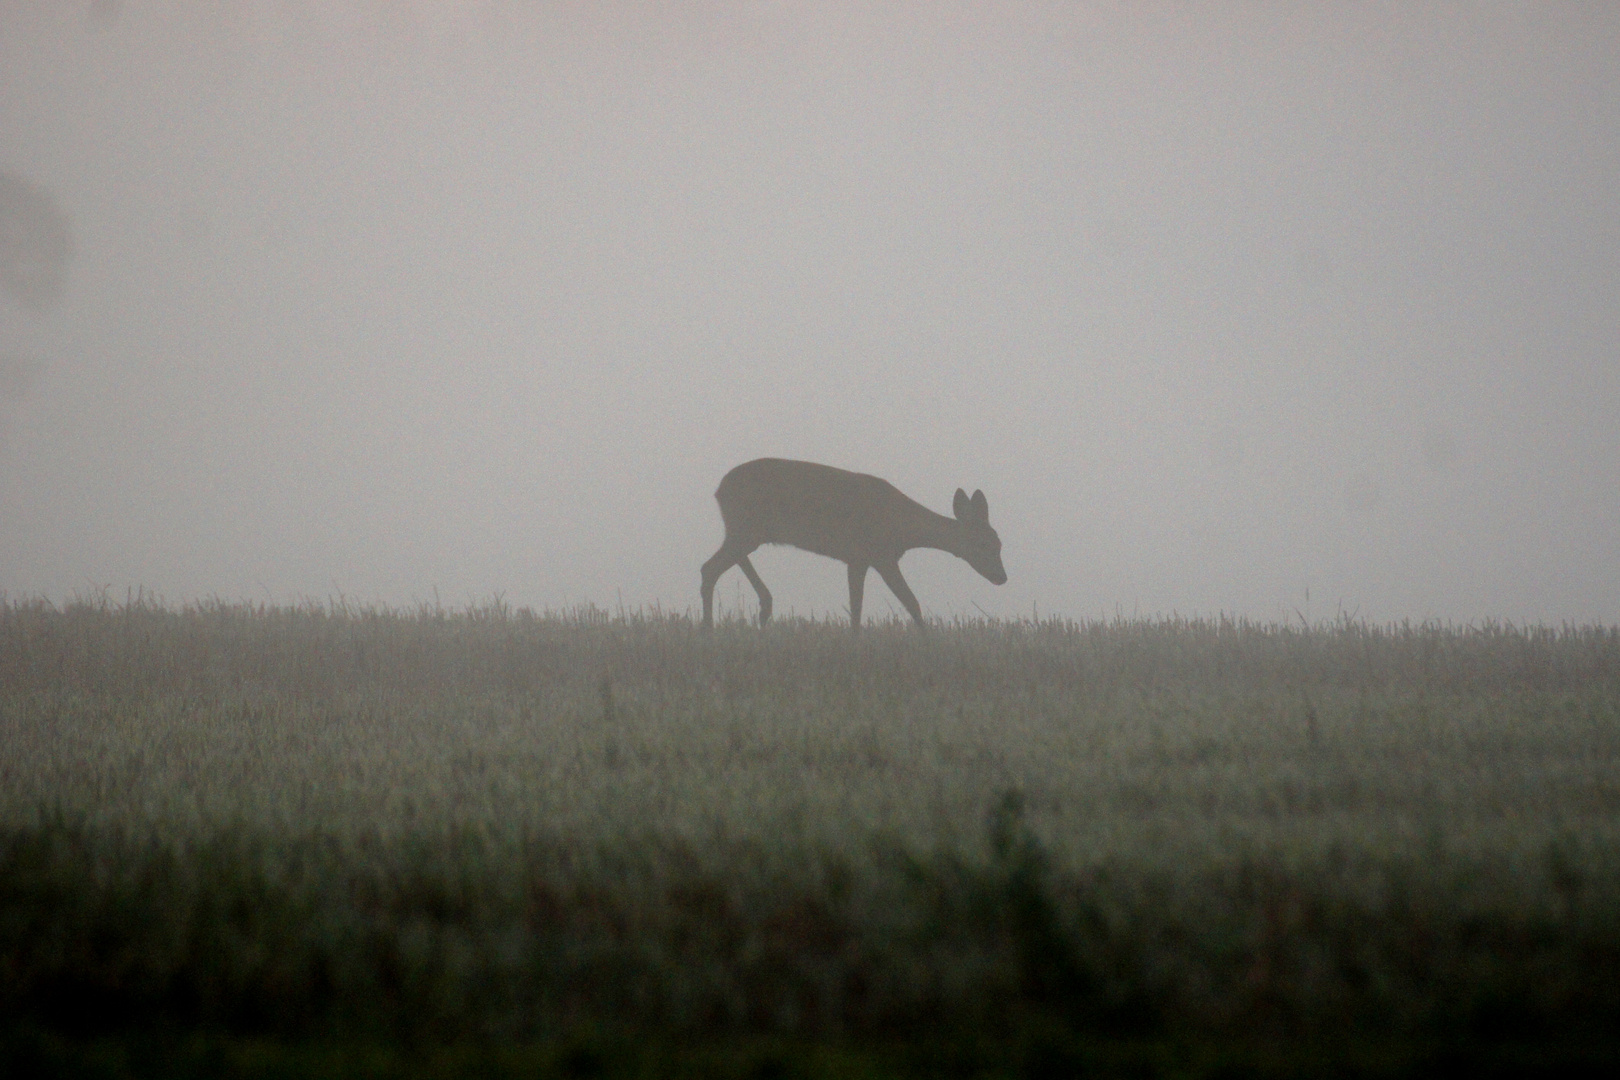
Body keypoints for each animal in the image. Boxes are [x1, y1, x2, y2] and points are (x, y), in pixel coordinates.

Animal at [699, 459, 1004, 628]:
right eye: (984, 544)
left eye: (1000, 543)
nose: (1002, 577)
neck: (903, 527)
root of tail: (718, 490)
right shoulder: (880, 554)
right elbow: (911, 602)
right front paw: (928, 640)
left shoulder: (857, 559)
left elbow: (856, 606)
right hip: (746, 528)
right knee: (710, 568)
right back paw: (711, 629)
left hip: (747, 530)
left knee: (724, 562)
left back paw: (763, 608)